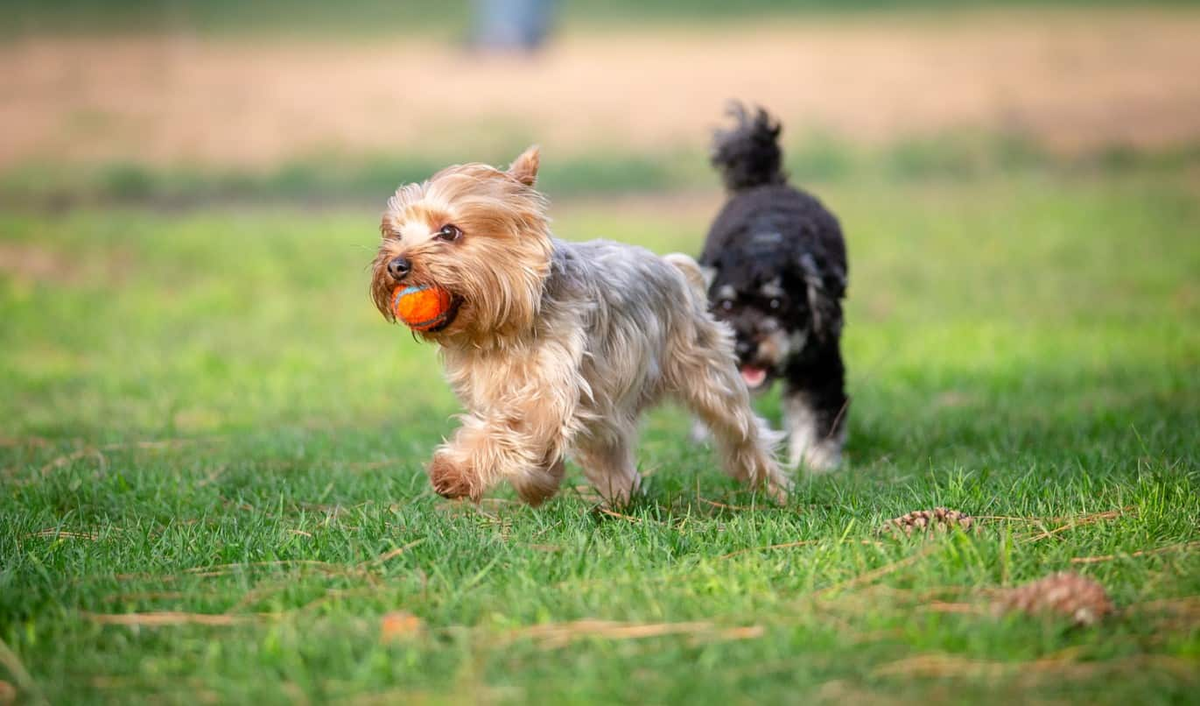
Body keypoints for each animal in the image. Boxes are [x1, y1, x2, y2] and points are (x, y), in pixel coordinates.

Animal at [372, 145, 787, 504]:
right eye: (395, 234)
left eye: (449, 231)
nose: (397, 265)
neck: (501, 329)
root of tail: (675, 269)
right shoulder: (495, 390)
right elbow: (514, 435)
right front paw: (538, 483)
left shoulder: (549, 388)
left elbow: (509, 427)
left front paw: (455, 473)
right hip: (609, 402)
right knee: (610, 448)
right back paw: (620, 498)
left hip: (706, 371)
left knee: (741, 430)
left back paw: (775, 490)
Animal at [700, 103, 849, 468]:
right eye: (726, 305)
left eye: (776, 304)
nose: (745, 347)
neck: (762, 241)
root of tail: (766, 182)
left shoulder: (818, 363)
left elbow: (817, 413)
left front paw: (816, 464)